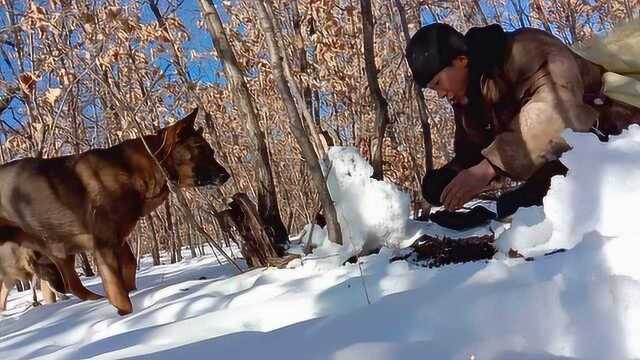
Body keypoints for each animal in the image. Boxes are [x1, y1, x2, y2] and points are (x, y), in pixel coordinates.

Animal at [0, 108, 230, 314]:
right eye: (204, 151)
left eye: (212, 151)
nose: (226, 175)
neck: (136, 170)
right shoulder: (104, 245)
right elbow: (119, 293)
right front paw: (125, 315)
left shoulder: (117, 239)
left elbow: (129, 266)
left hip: (59, 254)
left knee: (71, 285)